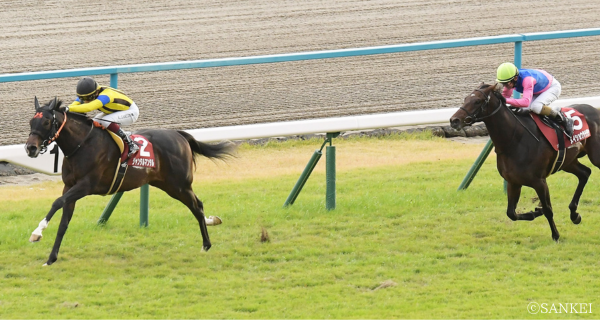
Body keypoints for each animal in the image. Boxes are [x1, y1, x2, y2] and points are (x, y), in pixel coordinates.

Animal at [26, 97, 237, 264]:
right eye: (31, 121)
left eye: (46, 122)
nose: (30, 148)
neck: (81, 145)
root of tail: (179, 134)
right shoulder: (69, 187)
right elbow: (63, 223)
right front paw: (51, 258)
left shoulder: (85, 186)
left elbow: (57, 202)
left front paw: (37, 232)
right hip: (168, 184)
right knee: (196, 206)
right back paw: (211, 224)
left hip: (179, 185)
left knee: (197, 206)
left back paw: (206, 243)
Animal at [450, 84, 600, 241]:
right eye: (465, 98)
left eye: (477, 101)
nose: (454, 120)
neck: (514, 140)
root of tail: (595, 109)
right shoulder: (513, 182)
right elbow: (511, 213)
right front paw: (535, 212)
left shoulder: (539, 181)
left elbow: (548, 209)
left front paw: (555, 235)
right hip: (568, 162)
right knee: (585, 173)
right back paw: (574, 214)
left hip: (595, 156)